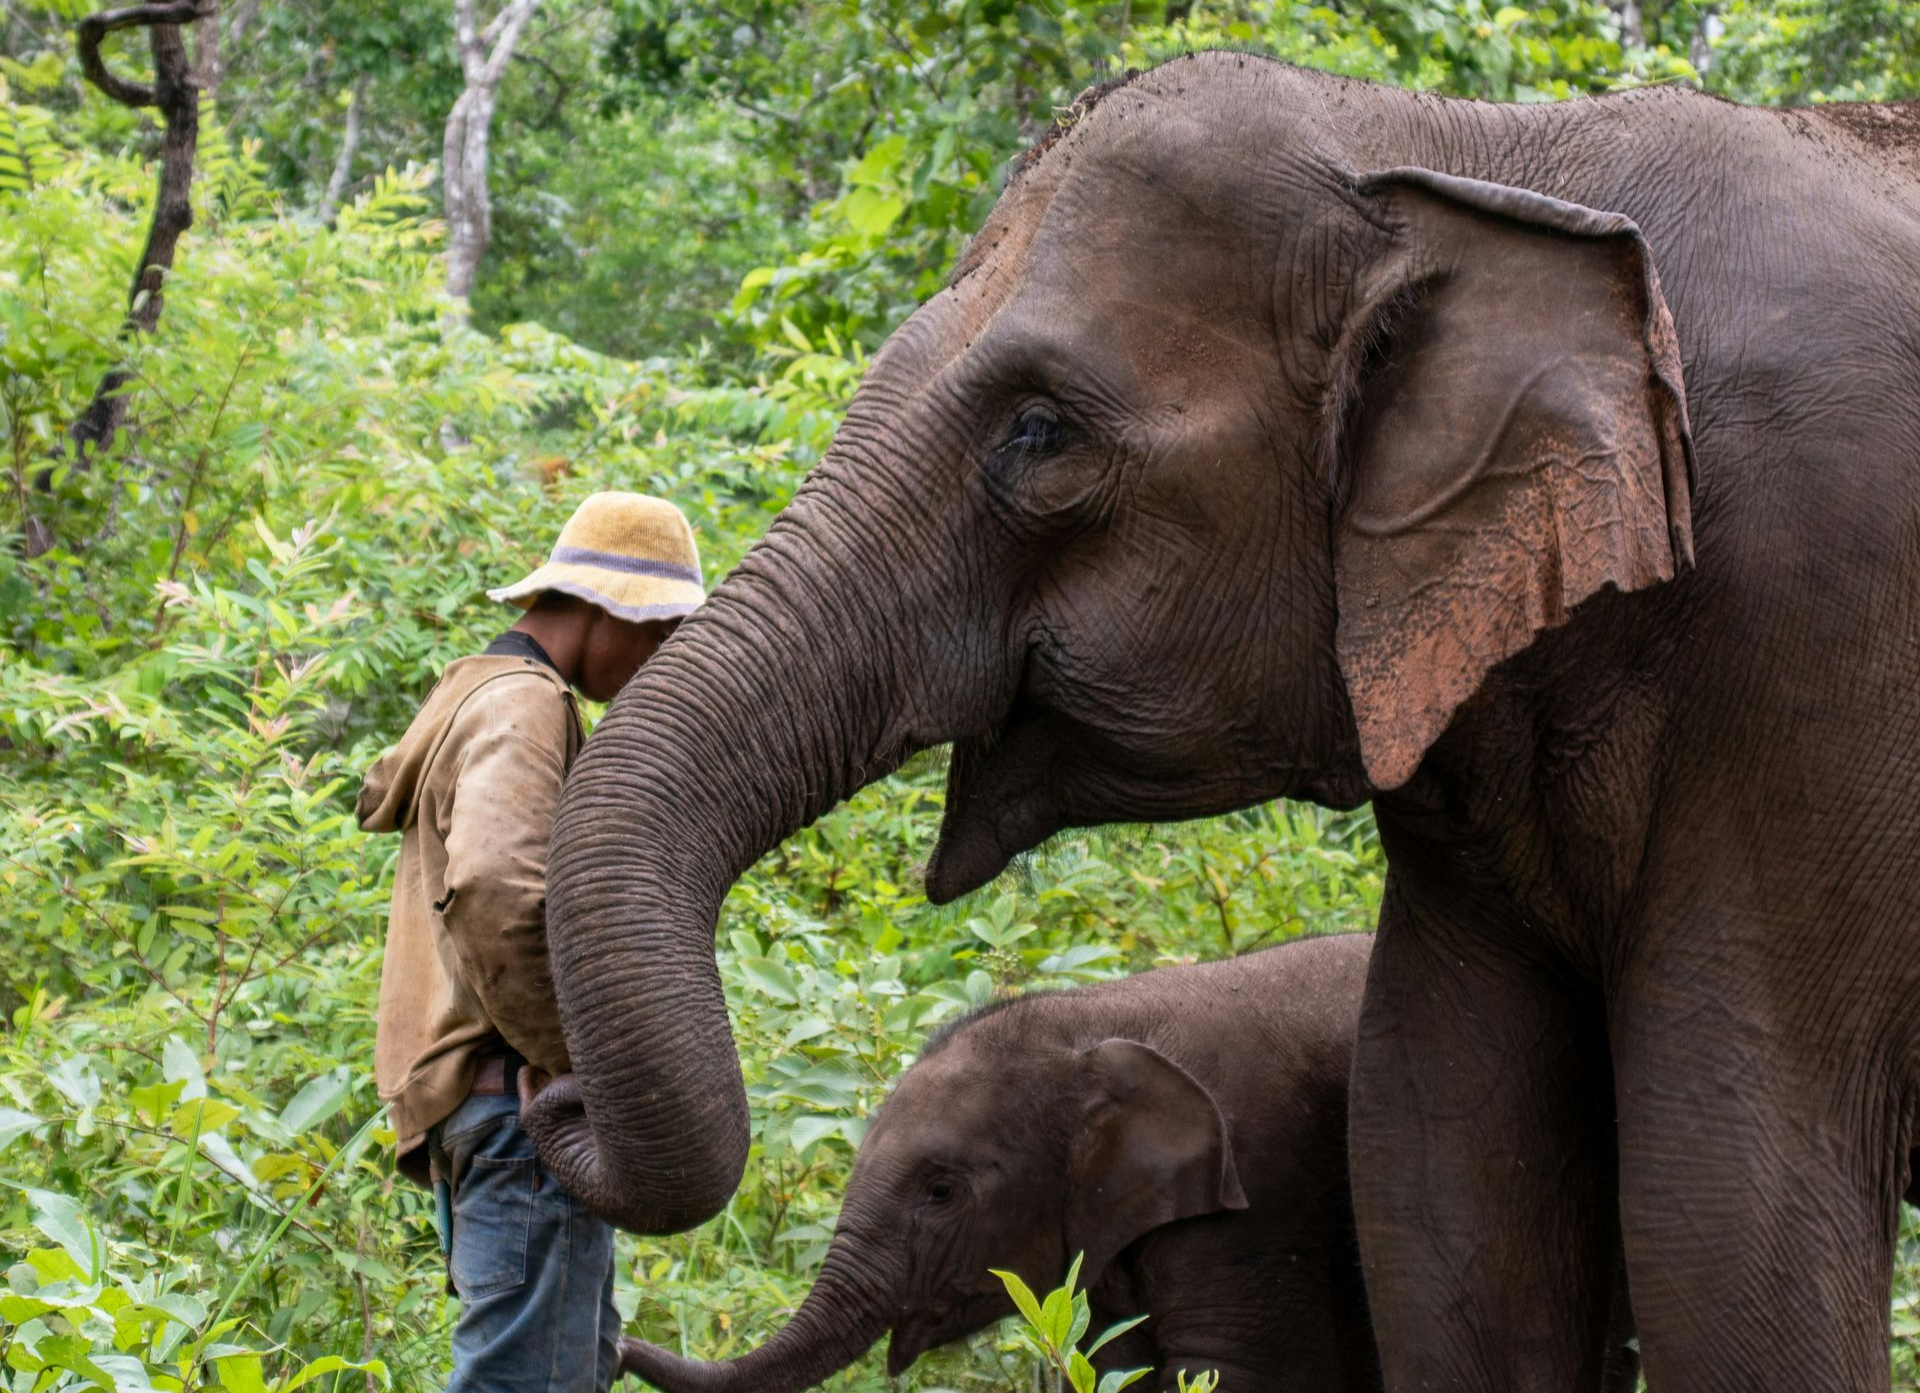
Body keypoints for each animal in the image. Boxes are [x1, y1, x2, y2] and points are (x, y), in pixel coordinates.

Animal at [620, 935, 1386, 1393]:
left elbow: (1226, 1370)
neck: (1092, 1017)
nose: (621, 1342)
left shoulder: (1261, 1194)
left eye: (941, 1192)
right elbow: (1114, 1365)